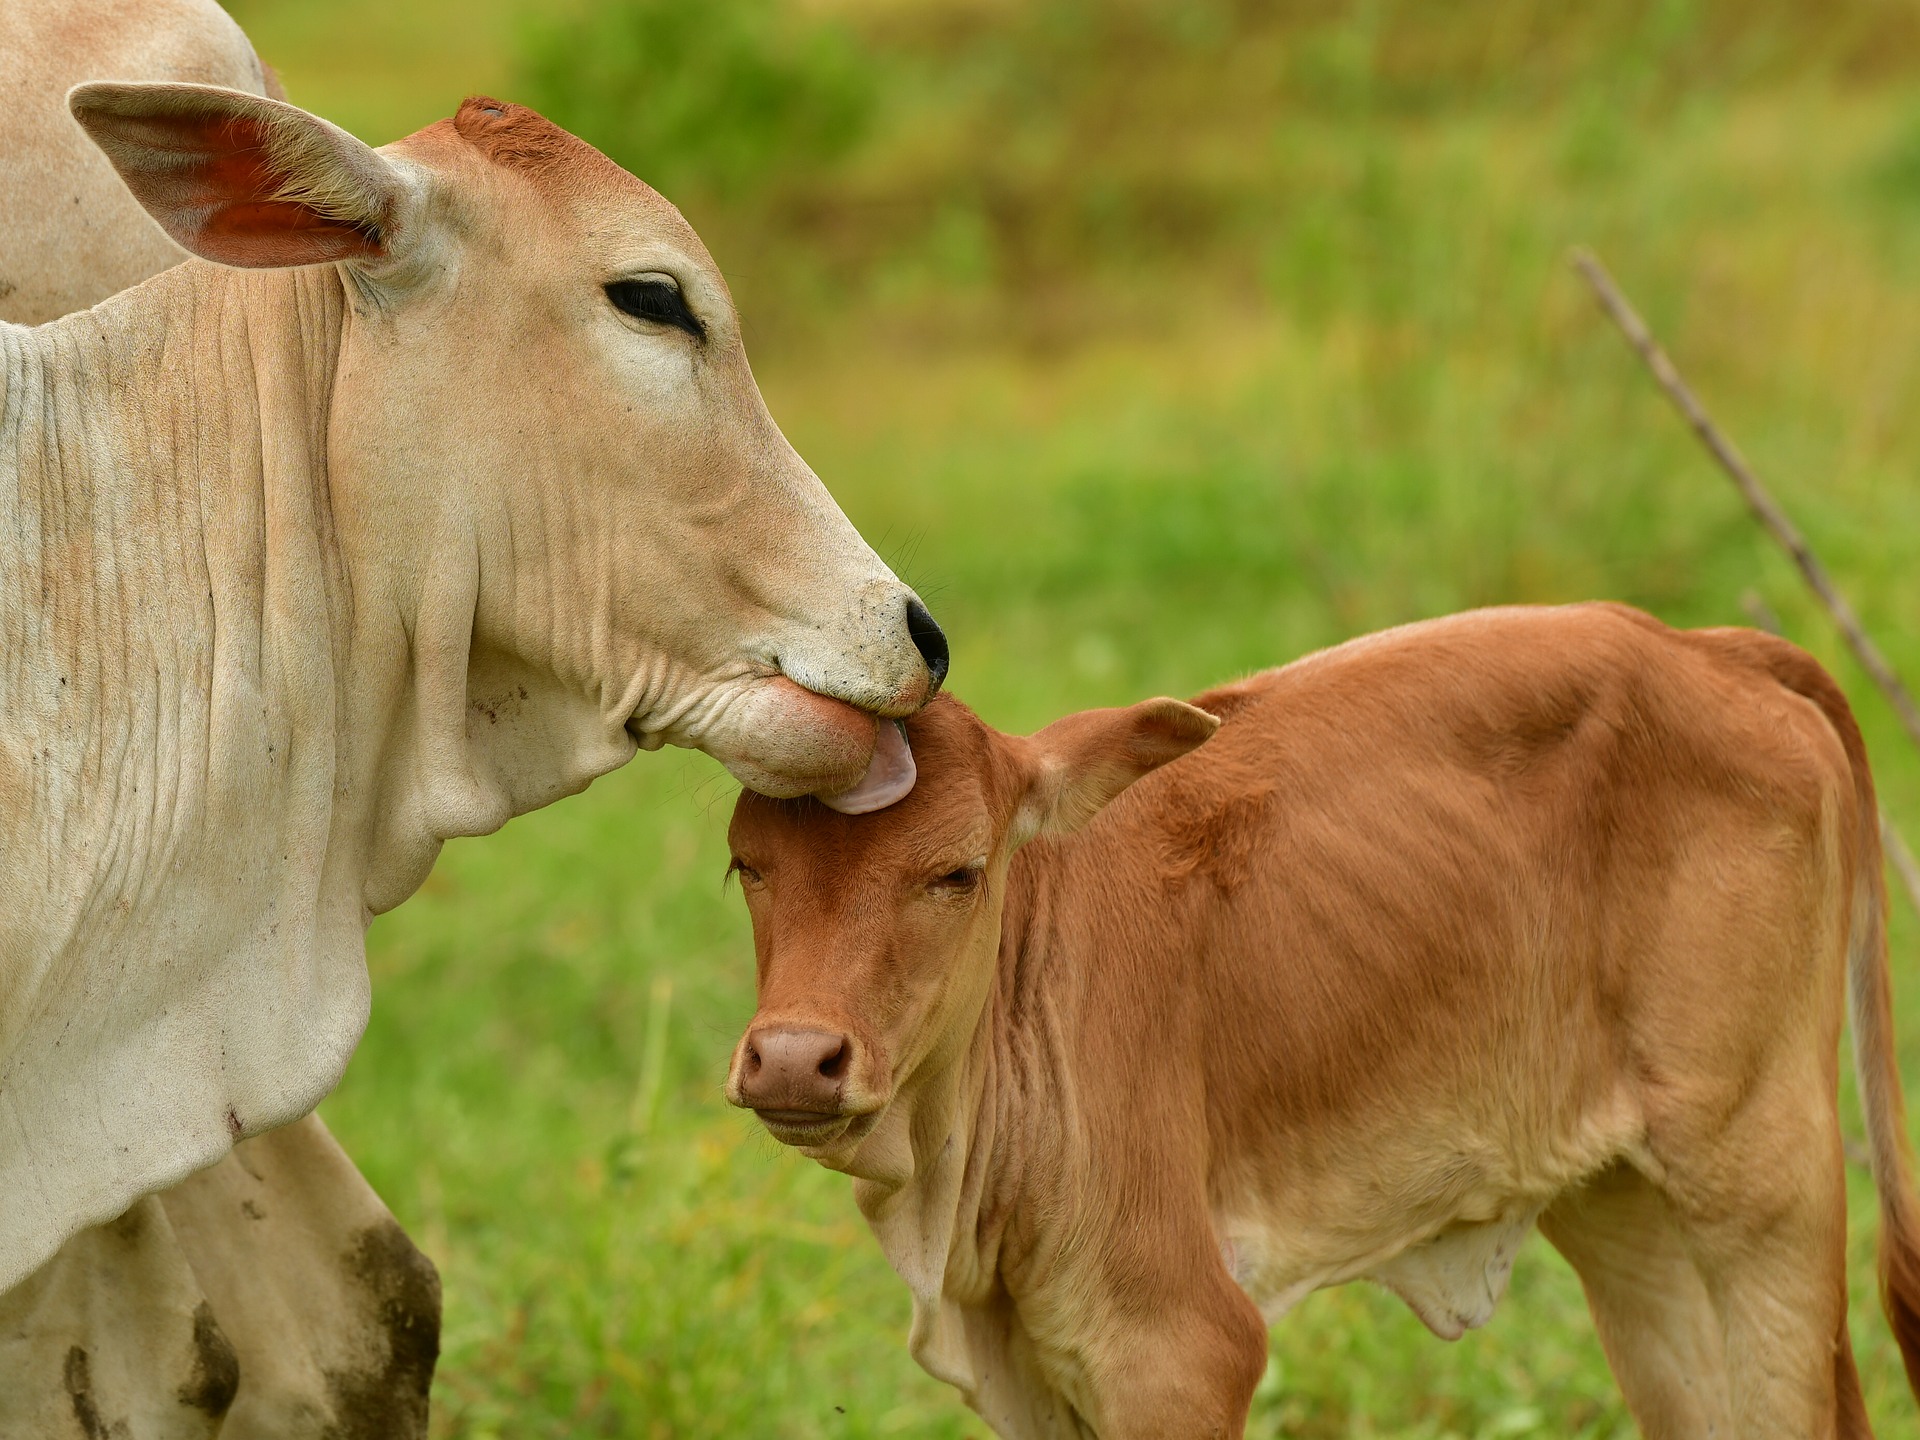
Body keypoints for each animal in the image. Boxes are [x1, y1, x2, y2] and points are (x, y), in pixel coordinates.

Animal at [721, 602, 1920, 1436]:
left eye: (958, 871)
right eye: (747, 864)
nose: (793, 1058)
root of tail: (1708, 644)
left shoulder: (1178, 1349)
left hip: (1761, 1184)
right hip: (1634, 1216)